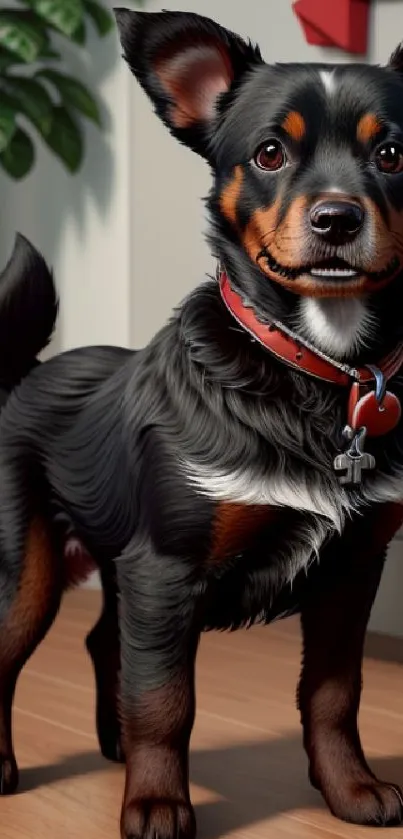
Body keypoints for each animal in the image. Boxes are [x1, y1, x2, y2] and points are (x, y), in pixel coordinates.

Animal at [0, 11, 403, 839]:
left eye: (392, 153)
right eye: (270, 152)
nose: (337, 217)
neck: (312, 369)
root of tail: (29, 373)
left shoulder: (351, 569)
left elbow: (333, 693)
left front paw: (349, 790)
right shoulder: (165, 568)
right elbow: (165, 699)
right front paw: (157, 805)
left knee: (102, 638)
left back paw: (114, 744)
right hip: (30, 570)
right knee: (11, 650)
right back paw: (6, 767)